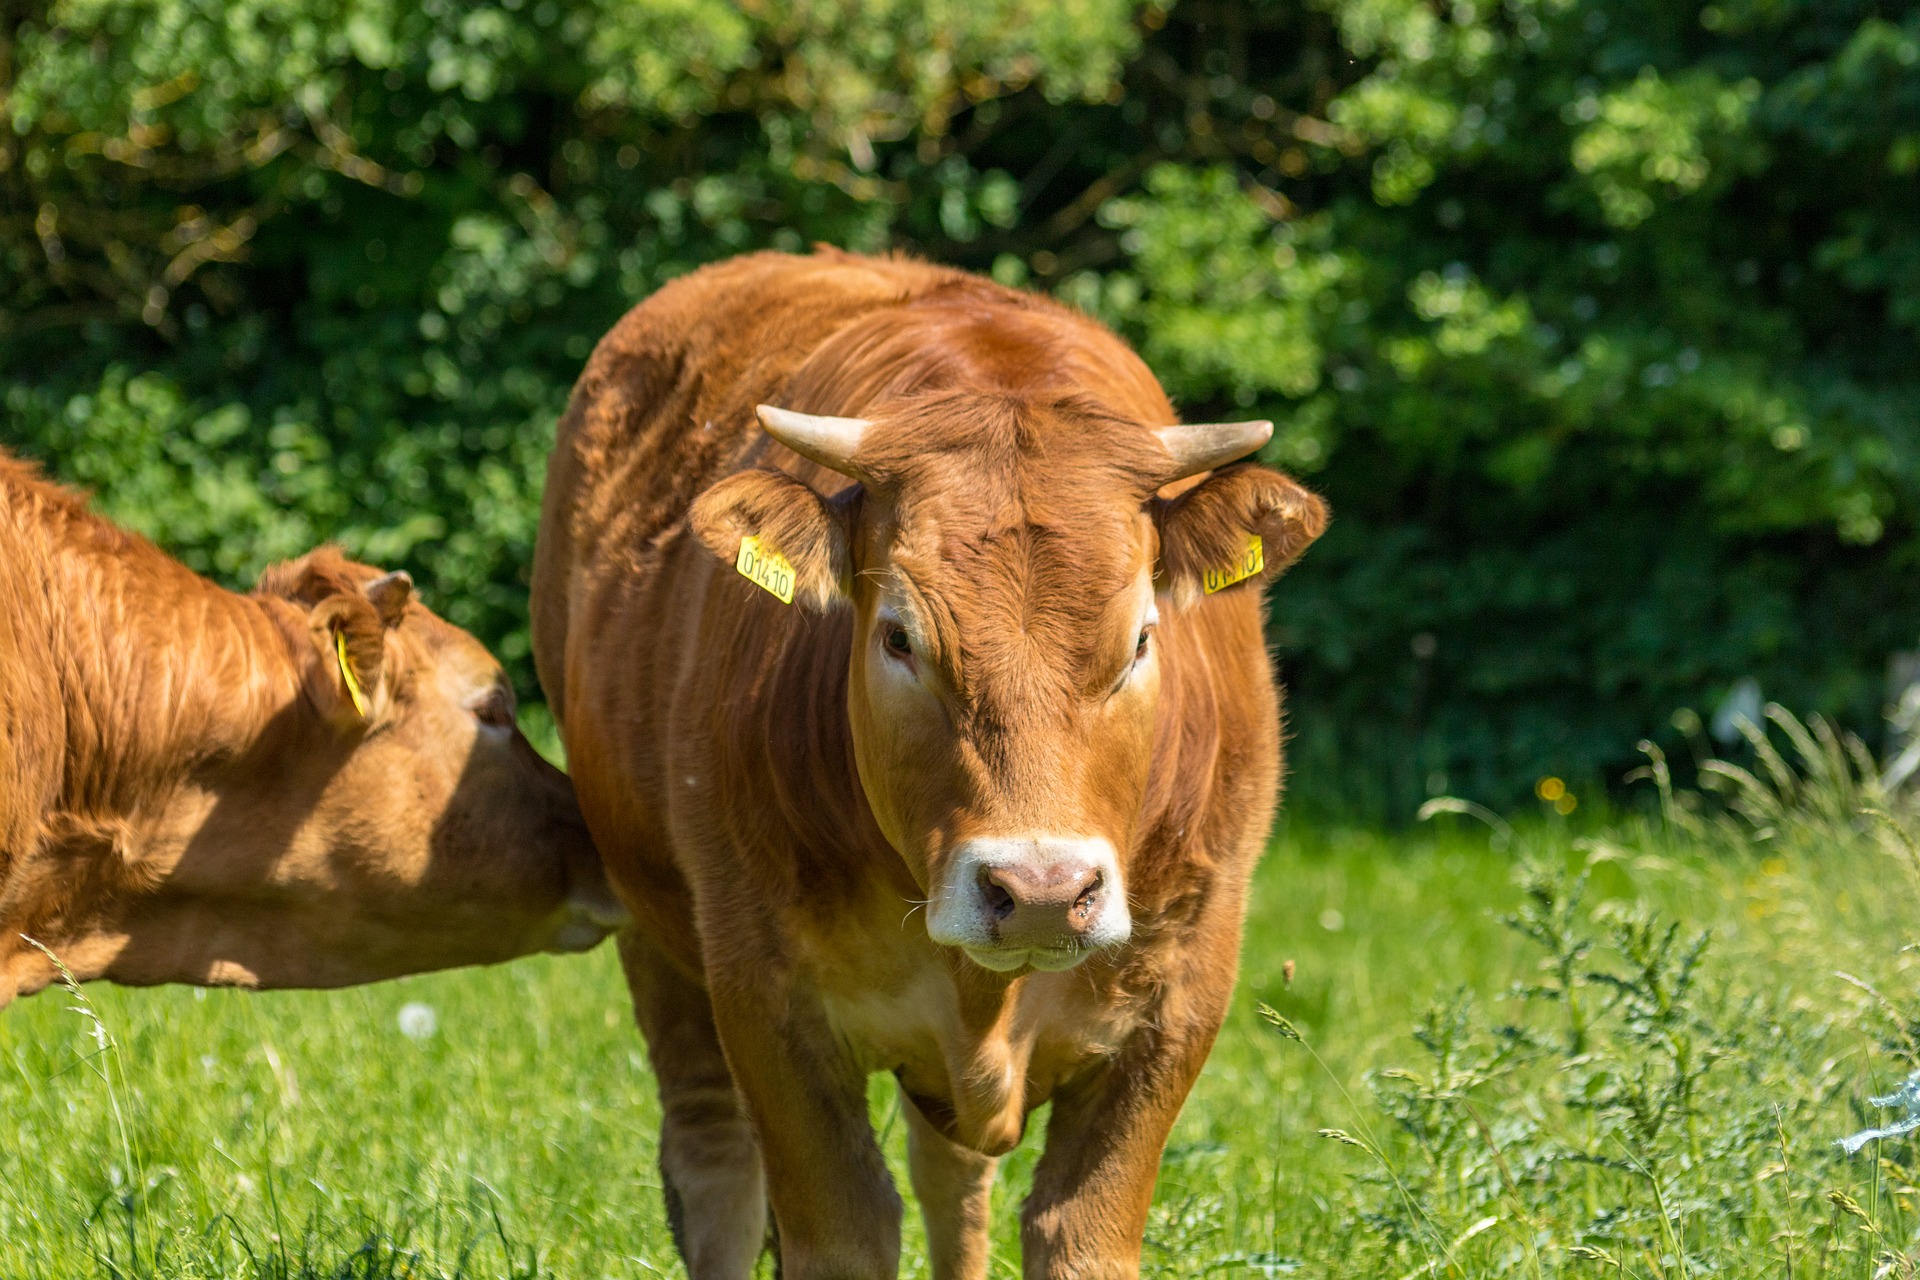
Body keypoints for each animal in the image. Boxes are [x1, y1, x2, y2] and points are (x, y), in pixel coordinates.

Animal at [533, 245, 1328, 1274]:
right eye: (900, 638)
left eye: (1142, 639)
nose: (1039, 890)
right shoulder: (763, 999)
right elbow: (839, 1230)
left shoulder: (1182, 994)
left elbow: (1078, 1232)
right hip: (652, 928)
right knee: (714, 1161)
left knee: (952, 1180)